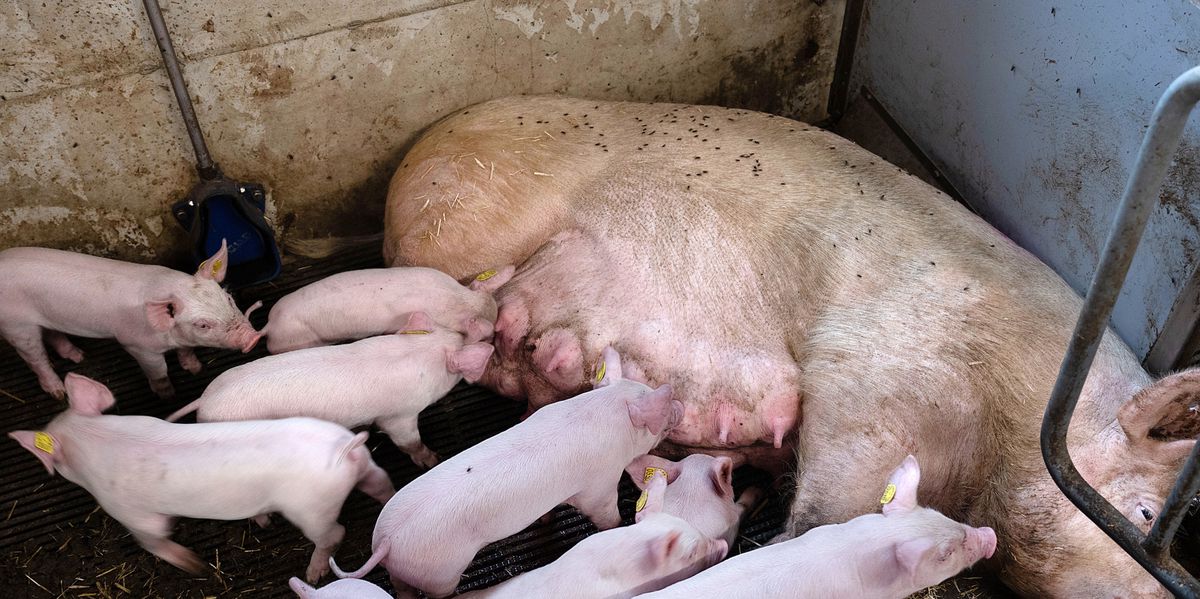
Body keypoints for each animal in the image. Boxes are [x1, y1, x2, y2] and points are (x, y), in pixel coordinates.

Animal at [0, 240, 261, 400]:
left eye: (228, 298)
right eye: (203, 325)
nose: (252, 338)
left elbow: (186, 350)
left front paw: (195, 369)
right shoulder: (136, 345)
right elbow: (159, 370)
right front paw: (168, 395)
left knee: (52, 334)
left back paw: (79, 356)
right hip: (16, 326)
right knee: (35, 358)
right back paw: (58, 392)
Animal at [9, 373, 395, 583]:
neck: (93, 439)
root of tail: (344, 447)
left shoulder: (129, 512)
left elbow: (153, 539)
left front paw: (196, 568)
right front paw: (261, 521)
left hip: (310, 507)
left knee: (334, 534)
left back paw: (313, 574)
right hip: (364, 466)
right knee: (382, 483)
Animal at [166, 312, 492, 468]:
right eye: (460, 340)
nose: (462, 333)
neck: (420, 353)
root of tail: (204, 399)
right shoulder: (398, 416)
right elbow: (408, 441)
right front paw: (432, 459)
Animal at [328, 346, 685, 597]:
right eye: (661, 413)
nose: (680, 405)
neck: (604, 411)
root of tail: (386, 540)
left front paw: (545, 519)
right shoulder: (599, 484)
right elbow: (604, 513)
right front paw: (616, 526)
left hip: (403, 568)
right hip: (439, 571)